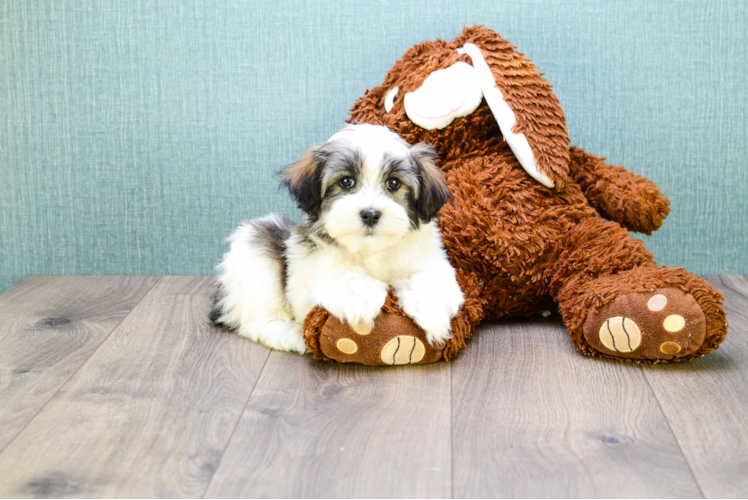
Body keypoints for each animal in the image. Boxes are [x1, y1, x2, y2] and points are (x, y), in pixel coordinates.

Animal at [210, 123, 464, 354]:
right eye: (346, 182)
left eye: (393, 183)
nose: (370, 214)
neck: (370, 249)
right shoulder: (304, 269)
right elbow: (330, 271)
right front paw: (361, 296)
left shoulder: (429, 259)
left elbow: (430, 277)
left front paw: (432, 313)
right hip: (254, 250)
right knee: (255, 320)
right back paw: (291, 335)